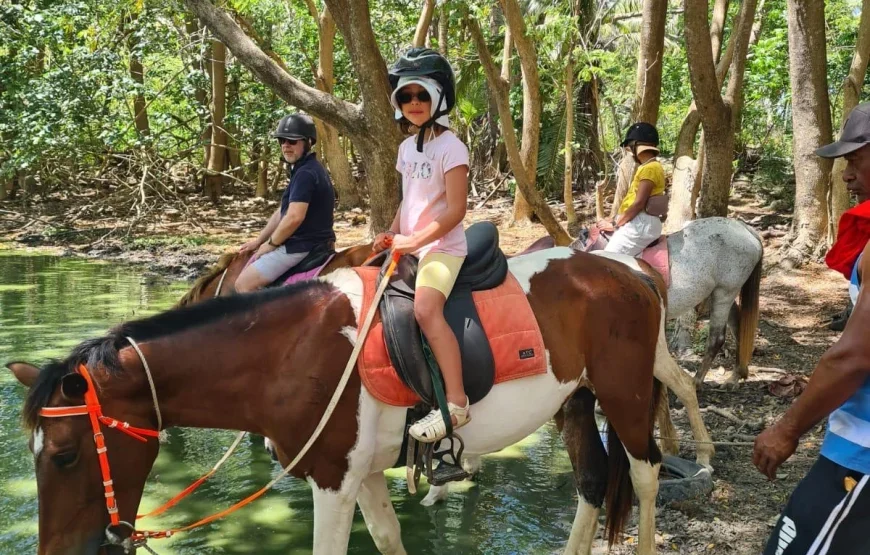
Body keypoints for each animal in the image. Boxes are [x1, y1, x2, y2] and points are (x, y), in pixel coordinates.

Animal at [10, 248, 670, 555]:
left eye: (64, 455)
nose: (58, 552)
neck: (289, 354)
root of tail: (630, 271)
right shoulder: (363, 475)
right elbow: (388, 538)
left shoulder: (330, 481)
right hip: (576, 401)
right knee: (592, 481)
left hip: (626, 395)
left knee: (643, 475)